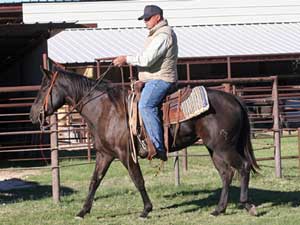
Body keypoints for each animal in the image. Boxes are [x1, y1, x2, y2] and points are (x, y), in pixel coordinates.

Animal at [31, 68, 260, 218]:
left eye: (43, 88)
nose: (32, 114)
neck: (106, 109)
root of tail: (234, 99)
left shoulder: (126, 155)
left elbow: (137, 180)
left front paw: (146, 209)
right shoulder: (105, 154)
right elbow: (95, 180)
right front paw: (83, 211)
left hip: (224, 147)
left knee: (243, 167)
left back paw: (248, 205)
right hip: (214, 149)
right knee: (226, 174)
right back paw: (219, 209)